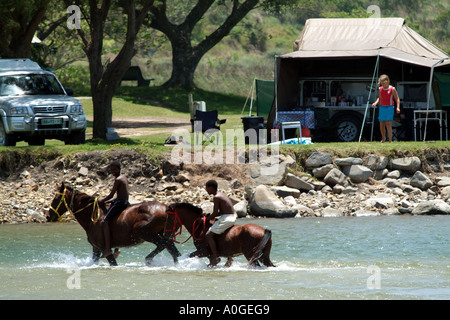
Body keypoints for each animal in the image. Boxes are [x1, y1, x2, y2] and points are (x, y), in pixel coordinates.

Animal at [47, 181, 181, 266]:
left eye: (56, 198)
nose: (48, 216)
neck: (92, 216)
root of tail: (167, 209)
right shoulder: (96, 248)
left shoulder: (103, 248)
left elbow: (113, 263)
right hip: (162, 234)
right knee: (172, 249)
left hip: (144, 232)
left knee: (163, 245)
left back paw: (148, 259)